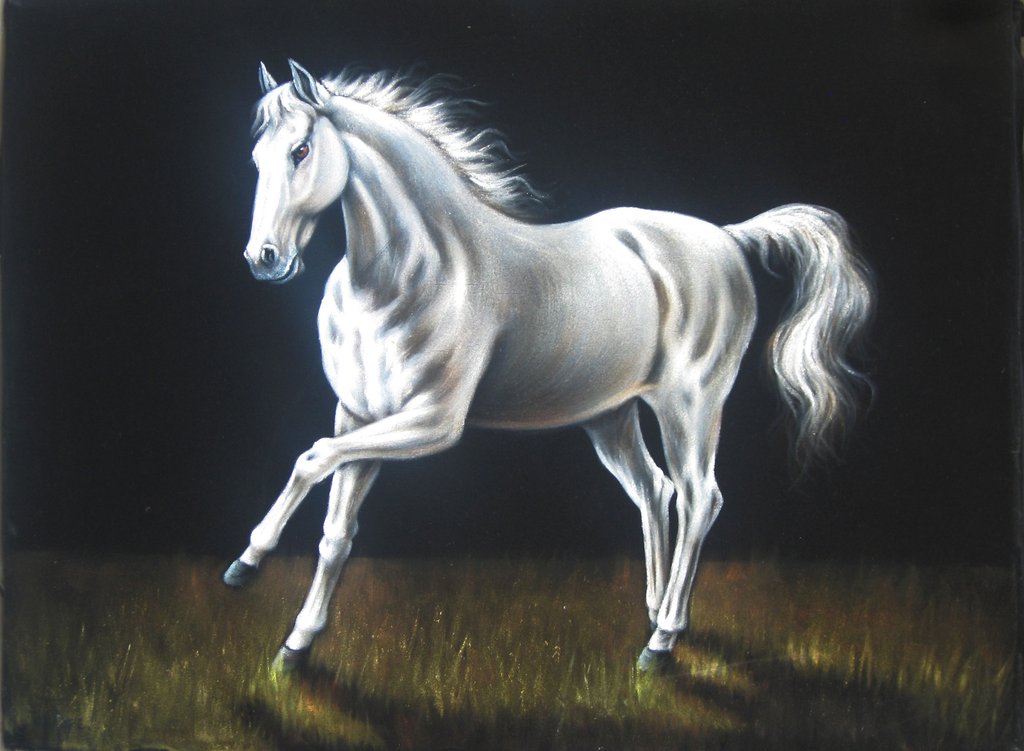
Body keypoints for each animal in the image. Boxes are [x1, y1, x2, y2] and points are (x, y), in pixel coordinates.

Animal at [223, 60, 874, 674]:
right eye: (254, 156)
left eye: (301, 149)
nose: (263, 259)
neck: (413, 274)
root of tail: (729, 238)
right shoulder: (357, 416)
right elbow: (337, 531)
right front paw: (295, 645)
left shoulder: (431, 422)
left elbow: (311, 458)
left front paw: (246, 564)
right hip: (612, 418)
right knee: (655, 490)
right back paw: (652, 613)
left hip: (691, 406)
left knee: (699, 498)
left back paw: (662, 641)